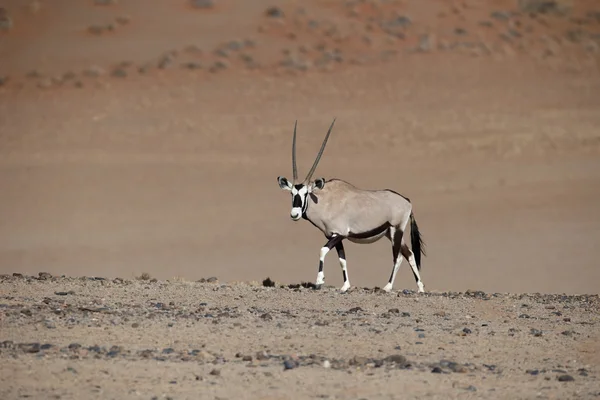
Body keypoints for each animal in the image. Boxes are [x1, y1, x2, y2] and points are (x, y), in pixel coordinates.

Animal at [278, 119, 426, 294]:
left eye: (306, 193)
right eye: (292, 194)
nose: (294, 214)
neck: (325, 201)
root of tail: (407, 200)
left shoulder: (340, 234)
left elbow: (322, 250)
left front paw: (319, 281)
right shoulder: (333, 236)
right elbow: (342, 259)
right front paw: (345, 286)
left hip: (396, 230)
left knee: (398, 257)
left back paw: (388, 286)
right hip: (390, 233)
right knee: (409, 254)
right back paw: (420, 288)